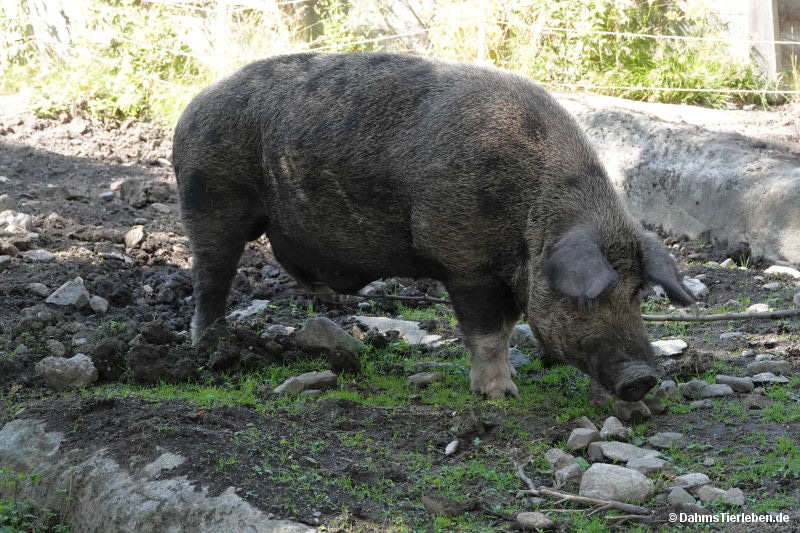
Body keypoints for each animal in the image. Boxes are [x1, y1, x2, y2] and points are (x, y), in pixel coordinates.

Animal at [172, 53, 694, 401]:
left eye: (638, 294)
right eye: (589, 298)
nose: (643, 378)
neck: (533, 218)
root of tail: (195, 101)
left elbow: (507, 329)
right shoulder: (465, 260)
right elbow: (488, 332)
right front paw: (500, 395)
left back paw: (332, 305)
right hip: (209, 197)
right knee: (211, 276)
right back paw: (210, 345)